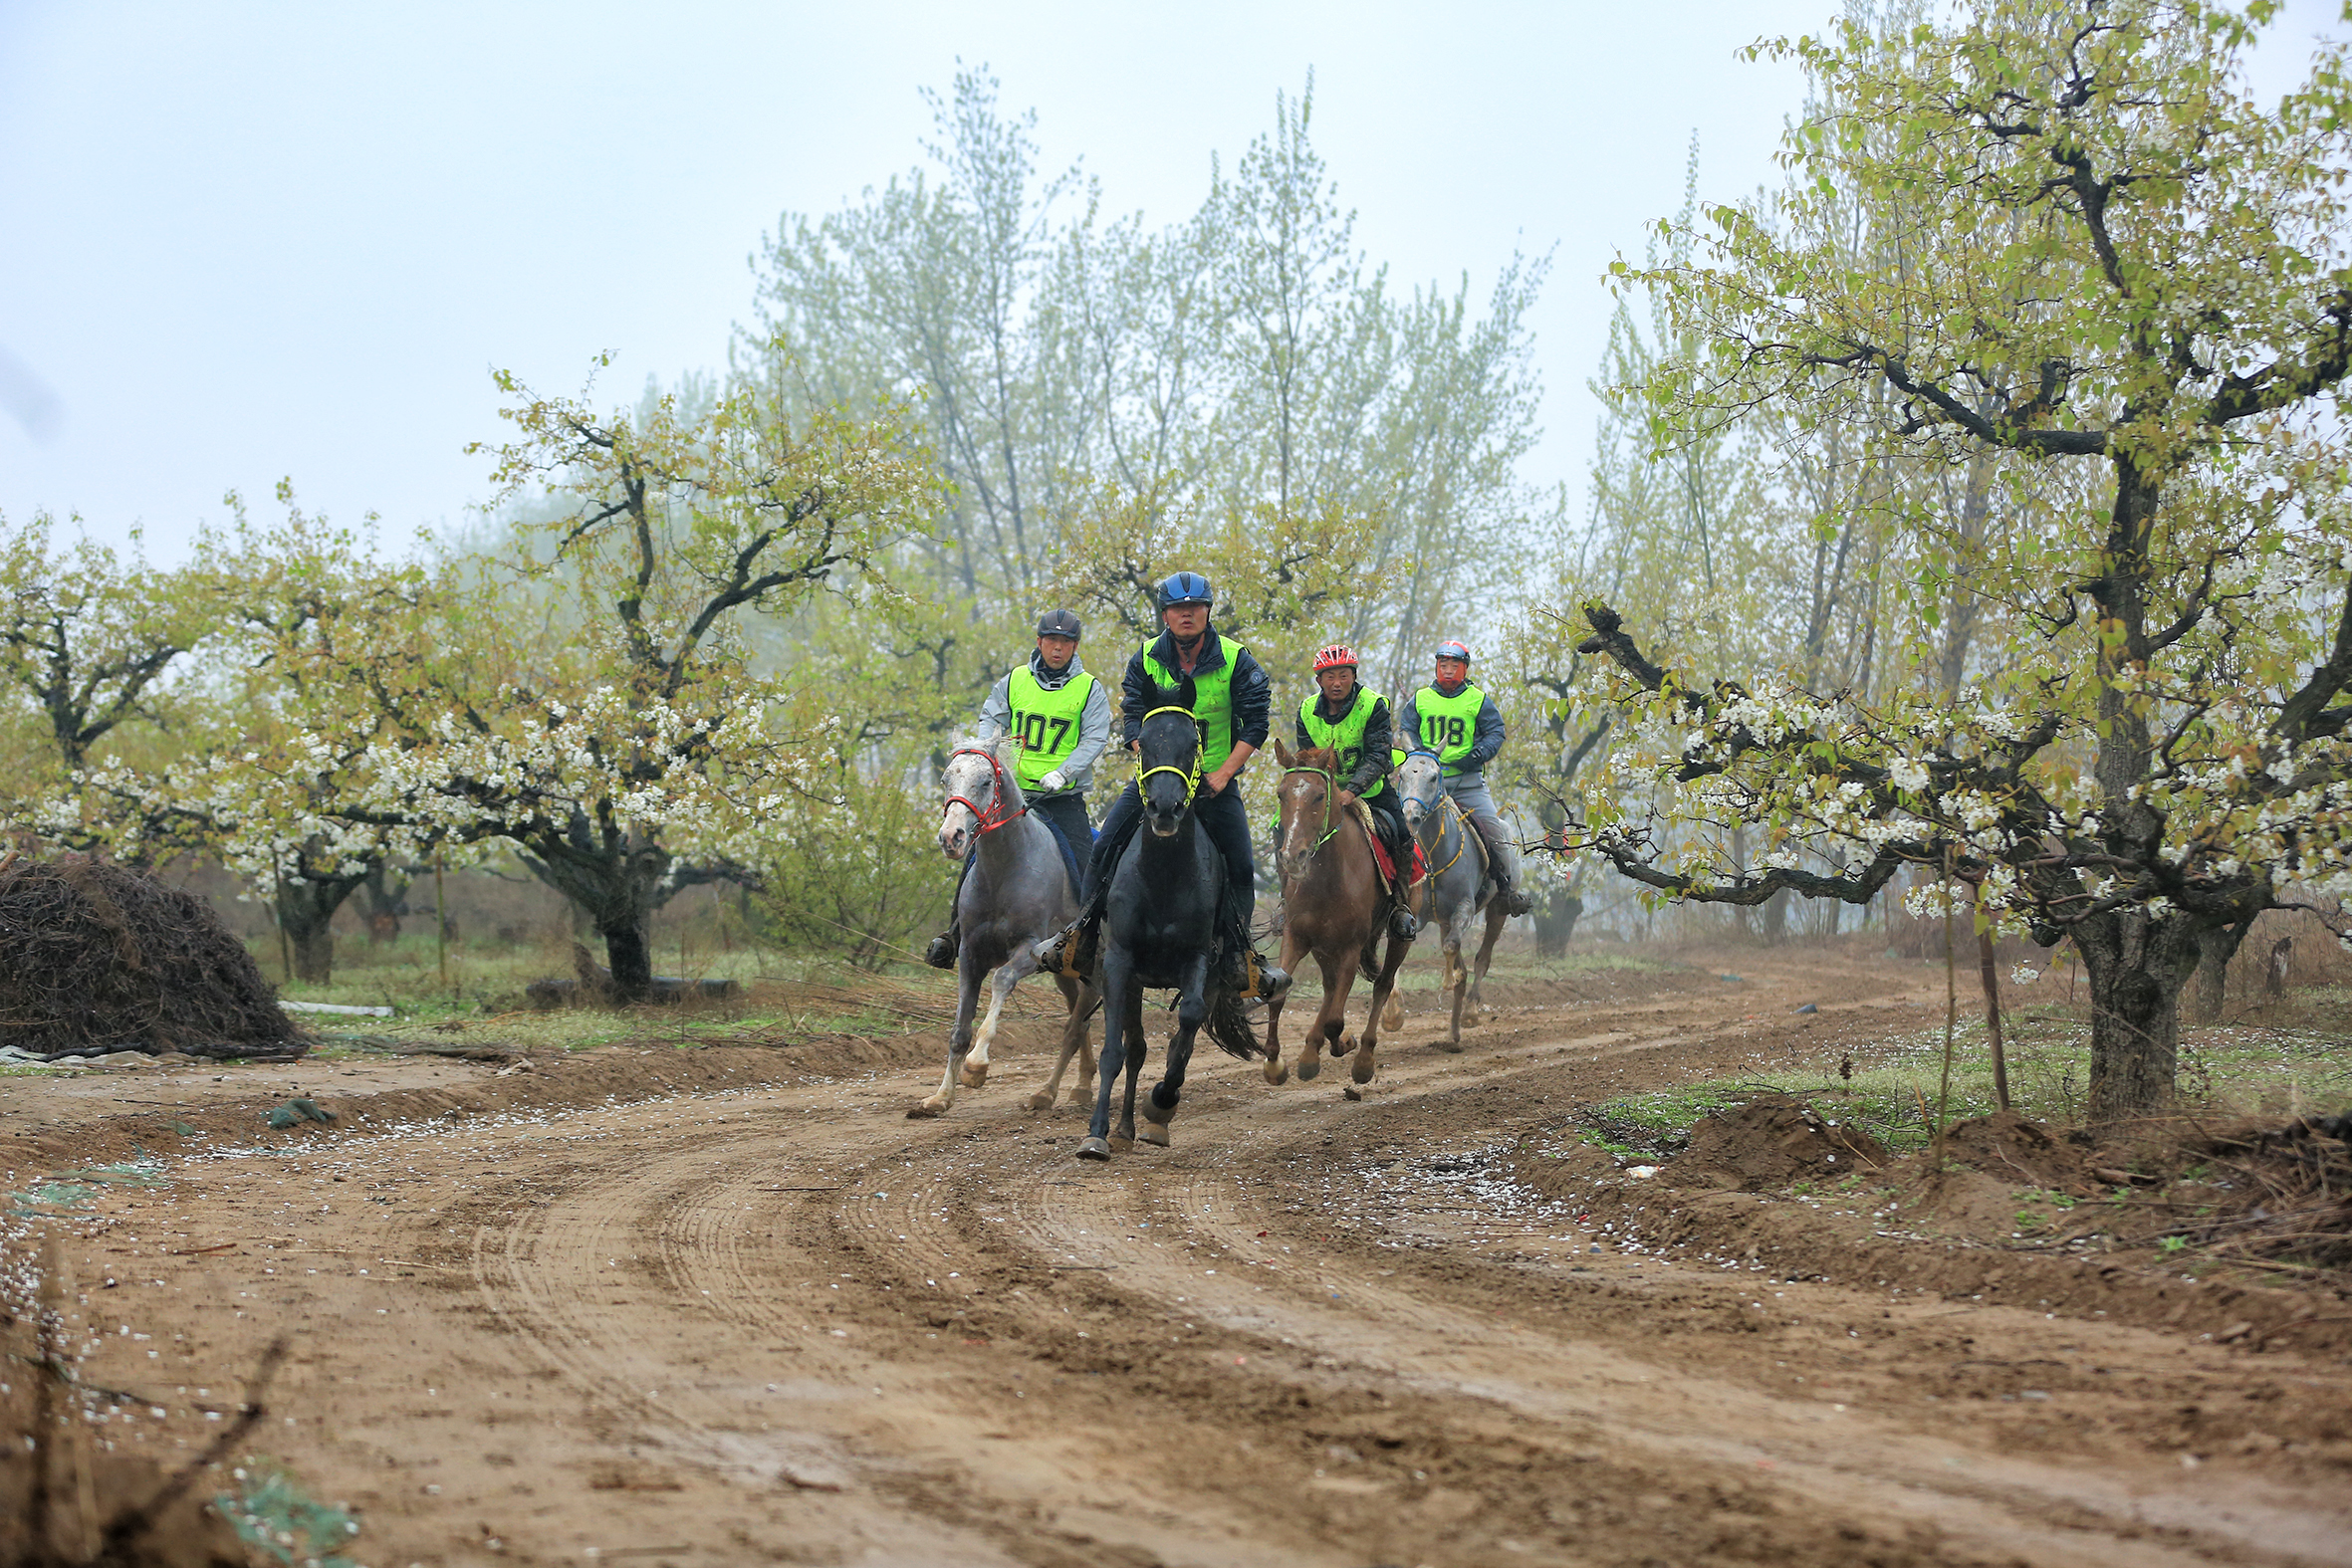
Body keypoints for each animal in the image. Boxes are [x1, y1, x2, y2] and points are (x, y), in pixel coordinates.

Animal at [1076, 681, 1261, 1161]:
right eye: (1143, 740)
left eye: (1193, 743)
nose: (1164, 808)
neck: (1161, 876)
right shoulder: (1119, 963)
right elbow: (1114, 1051)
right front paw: (1096, 1133)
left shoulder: (1199, 959)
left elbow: (1186, 1031)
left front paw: (1160, 1101)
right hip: (1133, 980)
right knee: (1137, 1048)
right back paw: (1123, 1127)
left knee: (1183, 1038)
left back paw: (1154, 1118)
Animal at [1270, 738, 1411, 1085]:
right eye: (1281, 793)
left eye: (1320, 796)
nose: (1292, 856)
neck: (1328, 879)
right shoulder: (1297, 937)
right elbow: (1279, 996)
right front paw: (1275, 1065)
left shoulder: (1351, 945)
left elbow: (1336, 1019)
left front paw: (1344, 1044)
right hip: (1324, 947)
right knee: (1331, 987)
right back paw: (1311, 1051)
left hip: (1399, 936)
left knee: (1382, 984)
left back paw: (1363, 1059)